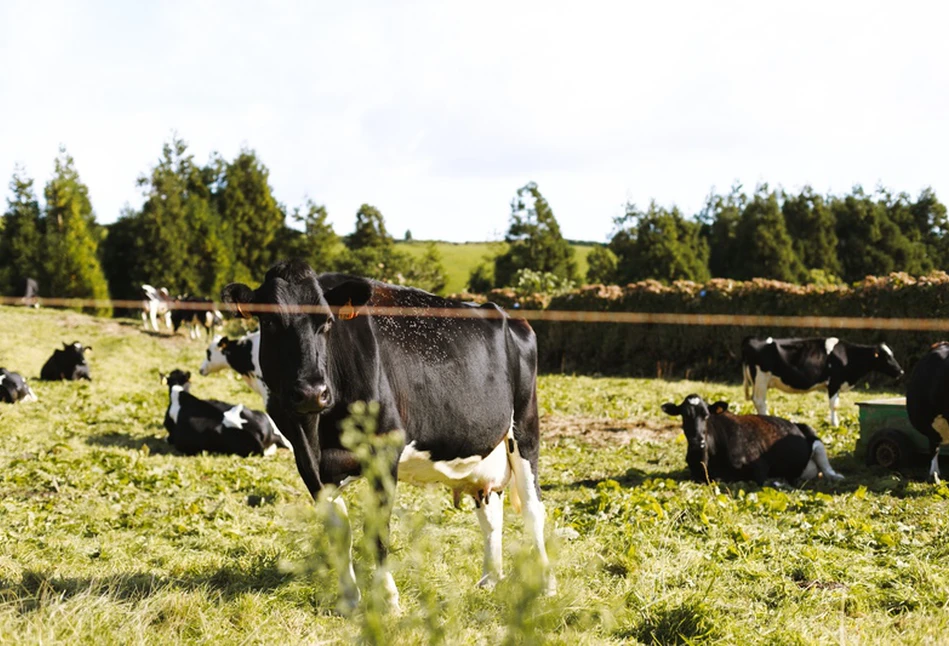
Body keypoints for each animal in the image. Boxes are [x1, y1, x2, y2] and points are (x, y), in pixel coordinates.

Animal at [223, 260, 556, 612]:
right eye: (270, 321)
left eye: (326, 322)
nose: (312, 392)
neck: (319, 433)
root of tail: (510, 316)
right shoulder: (307, 462)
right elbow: (339, 533)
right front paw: (349, 599)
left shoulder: (384, 453)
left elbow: (377, 529)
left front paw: (388, 599)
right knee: (490, 514)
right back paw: (490, 579)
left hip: (525, 427)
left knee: (533, 508)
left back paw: (546, 584)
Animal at [660, 394, 844, 486]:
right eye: (684, 415)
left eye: (706, 415)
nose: (698, 441)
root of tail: (796, 424)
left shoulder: (759, 465)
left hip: (815, 439)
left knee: (826, 468)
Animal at [740, 336, 904, 428]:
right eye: (886, 357)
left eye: (892, 355)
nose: (901, 371)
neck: (847, 356)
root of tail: (751, 340)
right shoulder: (834, 382)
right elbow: (834, 405)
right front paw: (835, 424)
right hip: (761, 379)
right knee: (760, 402)